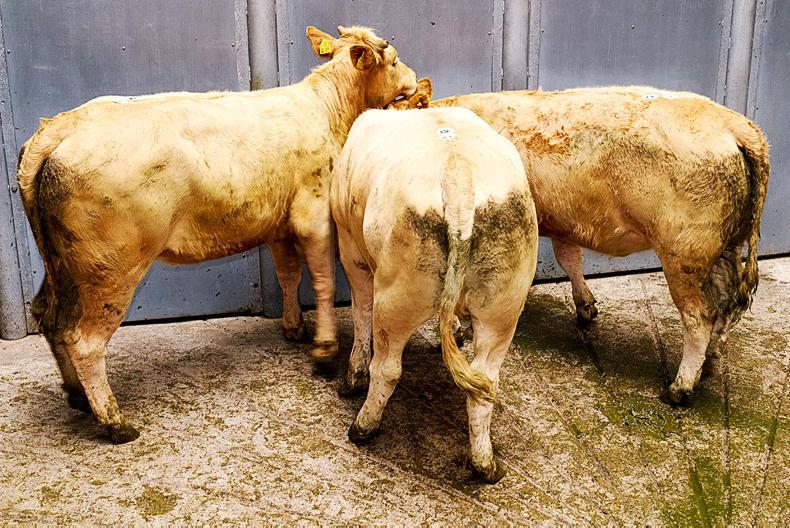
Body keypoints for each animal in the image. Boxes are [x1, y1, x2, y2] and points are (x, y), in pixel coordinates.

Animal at [16, 25, 417, 443]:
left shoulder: (276, 223)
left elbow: (288, 275)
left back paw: (77, 395)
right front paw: (324, 350)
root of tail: (60, 127)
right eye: (393, 60)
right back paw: (115, 422)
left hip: (62, 266)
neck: (328, 109)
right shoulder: (315, 214)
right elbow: (322, 281)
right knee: (84, 341)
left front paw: (293, 326)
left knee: (50, 317)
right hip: (110, 269)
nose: (415, 77)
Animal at [330, 106, 539, 482]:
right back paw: (484, 463)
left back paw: (363, 426)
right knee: (485, 384)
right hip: (504, 306)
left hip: (396, 297)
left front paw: (353, 374)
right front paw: (455, 327)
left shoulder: (351, 249)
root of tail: (458, 173)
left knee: (387, 367)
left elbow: (360, 311)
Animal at [395, 78, 770, 406]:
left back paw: (680, 388)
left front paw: (459, 329)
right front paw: (586, 307)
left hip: (685, 254)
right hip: (724, 247)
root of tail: (739, 127)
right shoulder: (564, 221)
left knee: (699, 317)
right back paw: (711, 361)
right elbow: (569, 259)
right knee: (724, 301)